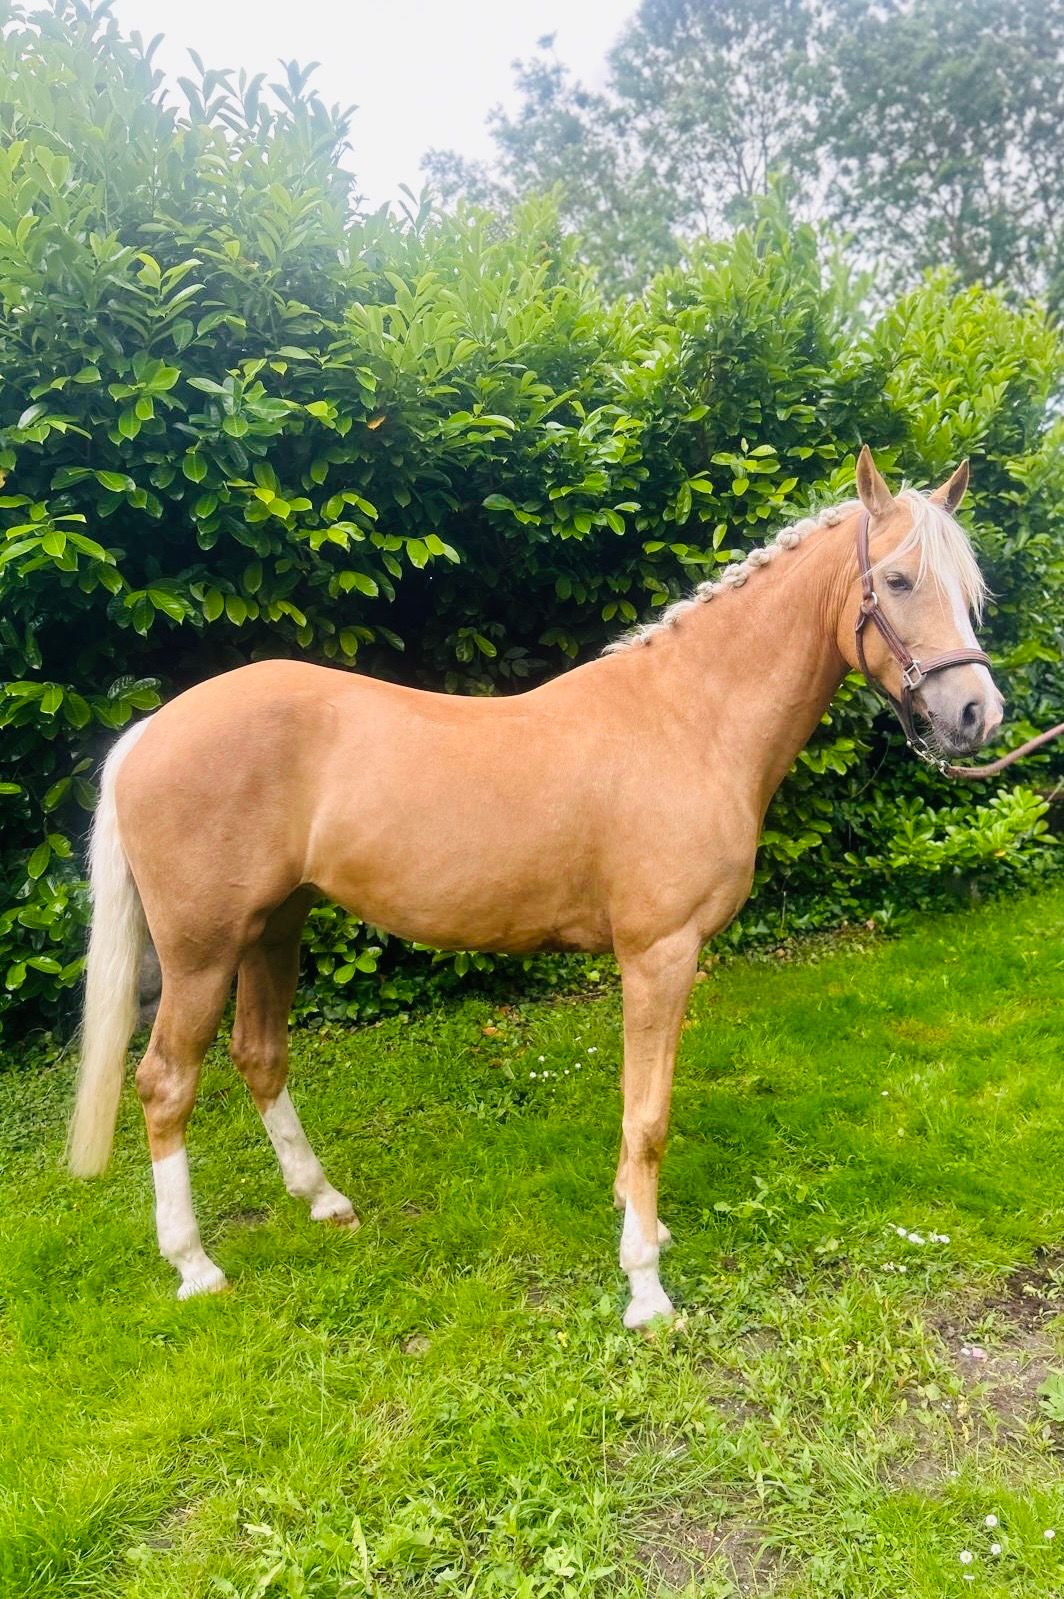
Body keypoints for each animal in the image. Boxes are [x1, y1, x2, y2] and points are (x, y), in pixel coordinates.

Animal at [67, 447, 1003, 1327]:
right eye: (898, 579)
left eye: (972, 590)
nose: (977, 715)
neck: (689, 720)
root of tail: (150, 730)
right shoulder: (659, 954)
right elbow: (648, 1114)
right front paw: (645, 1287)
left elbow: (637, 1106)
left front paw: (642, 1224)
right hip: (202, 951)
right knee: (165, 1081)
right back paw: (194, 1264)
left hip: (276, 925)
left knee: (259, 1054)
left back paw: (324, 1200)